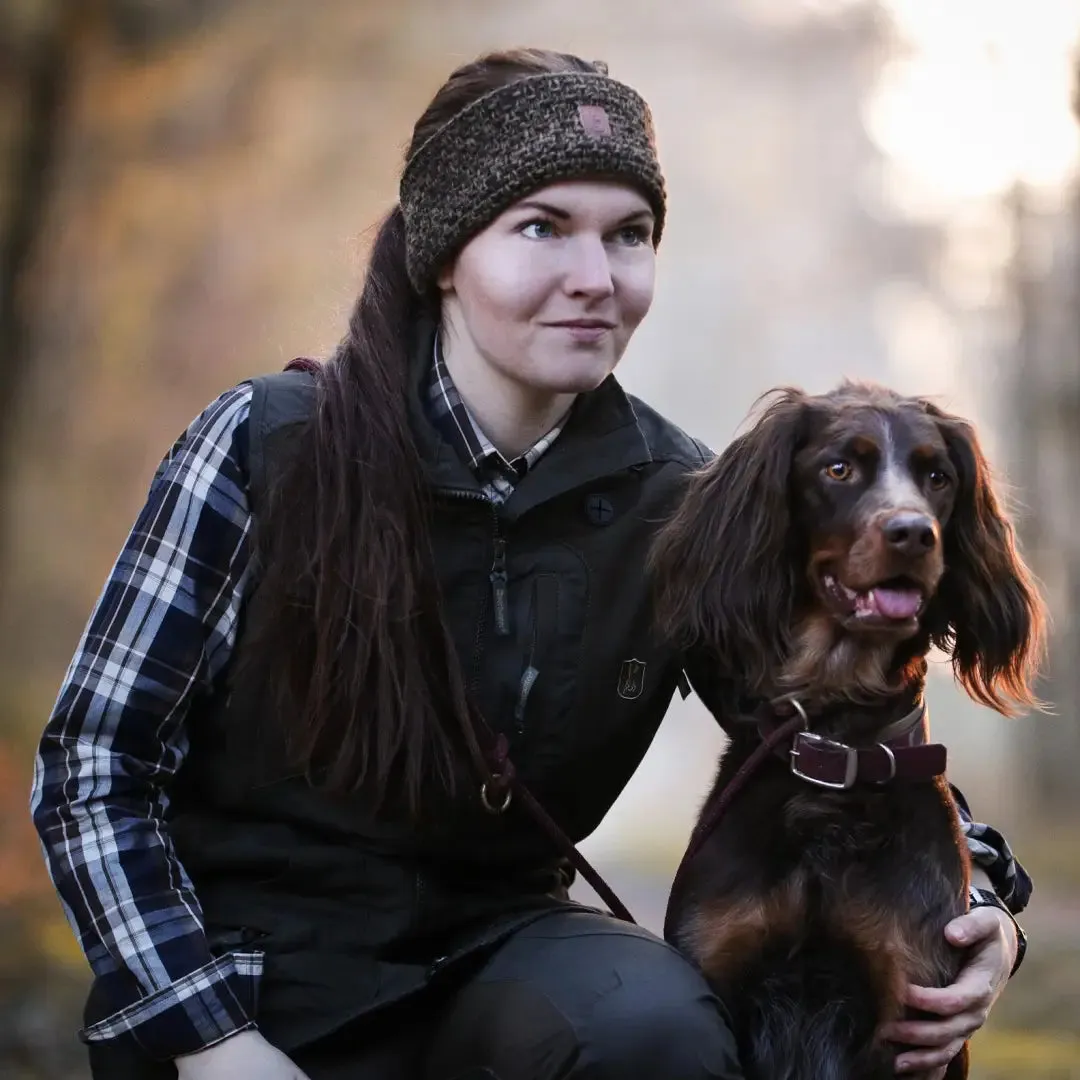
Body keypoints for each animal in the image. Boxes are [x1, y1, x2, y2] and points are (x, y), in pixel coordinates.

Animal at [648, 384, 1045, 1075]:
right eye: (839, 469)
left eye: (938, 477)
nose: (914, 534)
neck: (837, 747)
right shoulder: (718, 972)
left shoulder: (911, 1014)